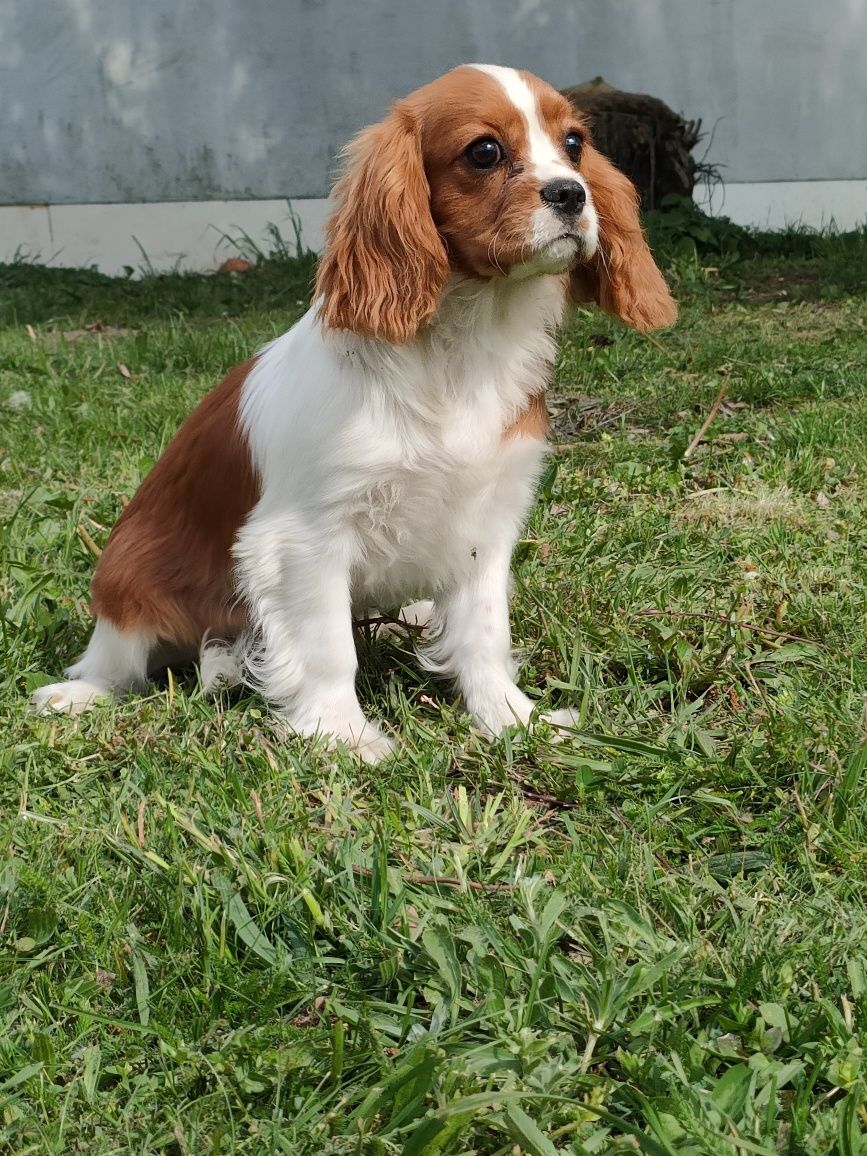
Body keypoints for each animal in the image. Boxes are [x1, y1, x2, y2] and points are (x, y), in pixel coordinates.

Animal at [32, 67, 679, 762]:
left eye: (575, 143)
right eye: (484, 152)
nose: (570, 192)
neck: (467, 340)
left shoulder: (486, 523)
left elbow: (484, 633)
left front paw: (509, 719)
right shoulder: (307, 537)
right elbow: (326, 647)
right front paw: (341, 734)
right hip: (127, 574)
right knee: (116, 660)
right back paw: (78, 694)